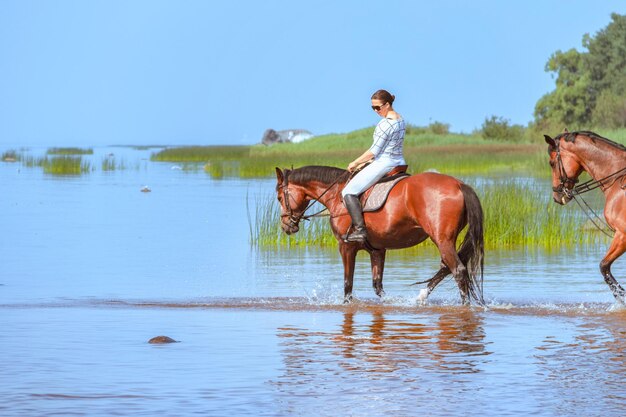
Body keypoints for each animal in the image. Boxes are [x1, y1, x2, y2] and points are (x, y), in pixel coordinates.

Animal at [272, 166, 482, 306]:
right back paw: (421, 296)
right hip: (444, 240)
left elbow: (348, 284)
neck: (337, 195)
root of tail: (459, 184)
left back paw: (464, 306)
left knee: (458, 271)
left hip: (442, 240)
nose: (286, 226)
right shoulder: (377, 250)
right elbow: (378, 286)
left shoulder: (346, 247)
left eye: (280, 198)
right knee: (447, 268)